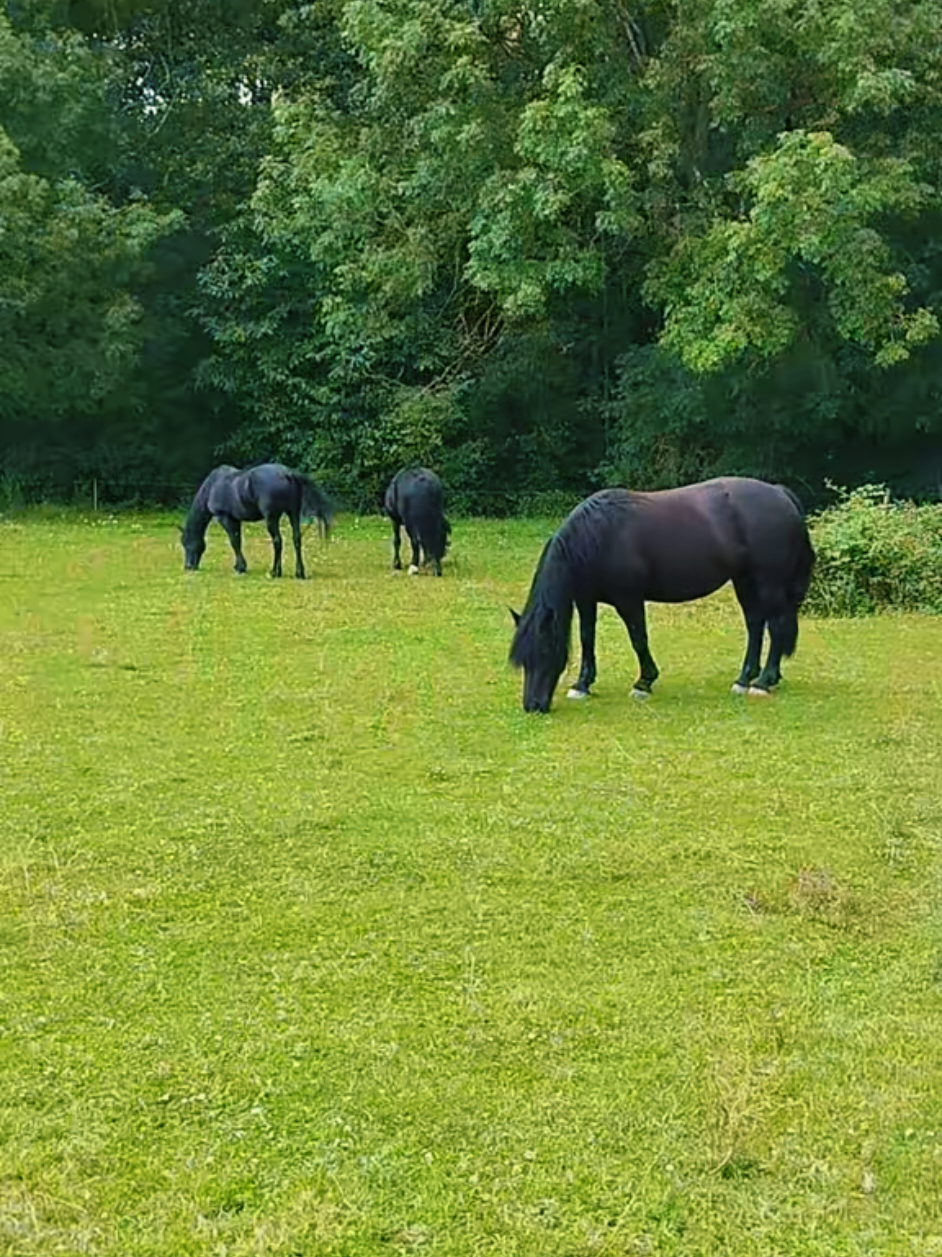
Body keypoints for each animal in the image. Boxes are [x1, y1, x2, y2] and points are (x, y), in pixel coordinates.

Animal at [180, 463, 333, 578]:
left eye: (186, 543)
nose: (188, 567)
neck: (213, 486)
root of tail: (287, 473)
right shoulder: (236, 520)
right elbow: (238, 541)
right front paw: (239, 566)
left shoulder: (225, 518)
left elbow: (234, 542)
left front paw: (241, 568)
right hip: (293, 514)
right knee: (296, 539)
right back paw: (299, 573)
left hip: (271, 518)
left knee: (277, 541)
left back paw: (275, 572)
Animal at [509, 477, 815, 713]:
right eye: (522, 659)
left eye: (544, 650)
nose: (533, 706)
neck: (598, 536)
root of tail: (779, 493)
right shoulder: (586, 600)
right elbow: (587, 639)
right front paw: (582, 685)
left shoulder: (629, 600)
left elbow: (638, 639)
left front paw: (644, 683)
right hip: (745, 581)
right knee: (755, 624)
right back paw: (744, 680)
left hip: (768, 583)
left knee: (775, 626)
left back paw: (763, 682)